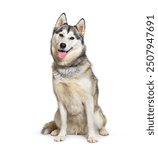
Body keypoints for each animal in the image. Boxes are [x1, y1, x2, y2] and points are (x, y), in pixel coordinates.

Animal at [41, 13, 108, 143]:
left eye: (72, 38)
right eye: (61, 35)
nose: (63, 45)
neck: (68, 66)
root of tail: (78, 131)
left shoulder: (88, 100)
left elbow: (90, 122)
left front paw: (92, 137)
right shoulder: (60, 101)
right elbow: (63, 122)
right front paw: (61, 135)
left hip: (97, 113)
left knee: (100, 124)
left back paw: (102, 131)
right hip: (56, 114)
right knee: (60, 124)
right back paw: (56, 131)